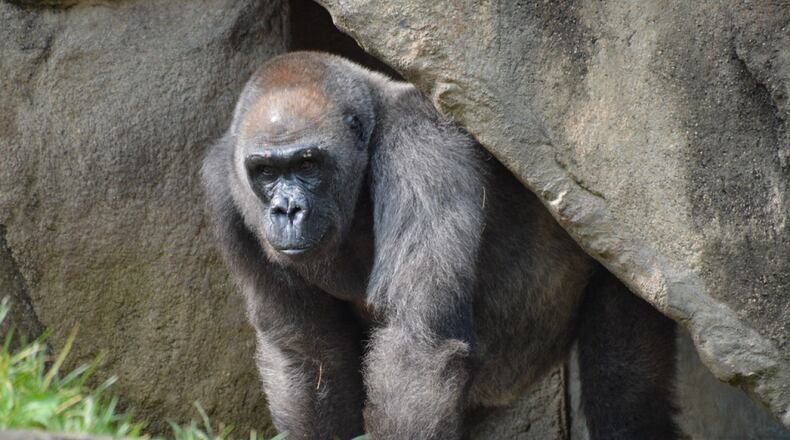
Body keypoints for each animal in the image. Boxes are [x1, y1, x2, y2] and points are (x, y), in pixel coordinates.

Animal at [201, 51, 680, 440]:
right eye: (265, 172)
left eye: (307, 164)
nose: (287, 209)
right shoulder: (223, 188)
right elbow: (308, 354)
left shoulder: (420, 145)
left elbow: (418, 342)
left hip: (625, 252)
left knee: (624, 389)